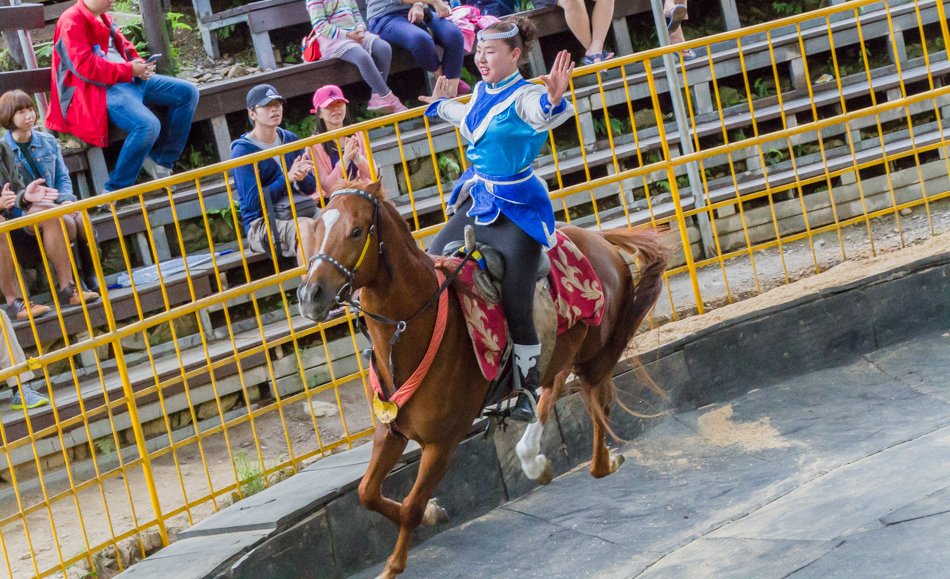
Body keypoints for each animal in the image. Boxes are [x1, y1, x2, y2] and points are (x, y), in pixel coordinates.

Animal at [298, 182, 668, 579]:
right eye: (316, 230)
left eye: (355, 231)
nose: (310, 295)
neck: (418, 326)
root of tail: (598, 239)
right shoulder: (391, 429)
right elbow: (367, 492)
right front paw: (433, 514)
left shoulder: (442, 444)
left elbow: (412, 505)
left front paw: (395, 562)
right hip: (564, 354)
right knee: (553, 390)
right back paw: (533, 455)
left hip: (596, 357)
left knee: (599, 409)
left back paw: (595, 461)